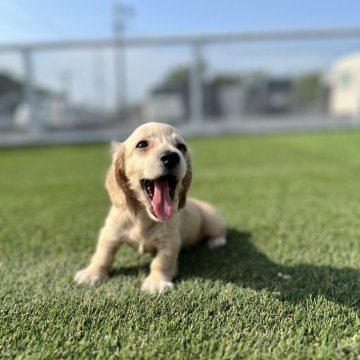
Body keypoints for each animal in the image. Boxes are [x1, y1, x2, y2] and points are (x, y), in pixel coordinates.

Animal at [74, 122, 226, 294]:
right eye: (142, 145)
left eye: (181, 147)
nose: (171, 157)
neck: (143, 215)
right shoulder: (110, 232)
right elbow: (103, 254)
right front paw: (91, 273)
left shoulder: (170, 241)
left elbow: (161, 261)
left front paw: (156, 282)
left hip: (212, 222)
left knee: (220, 232)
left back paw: (217, 241)